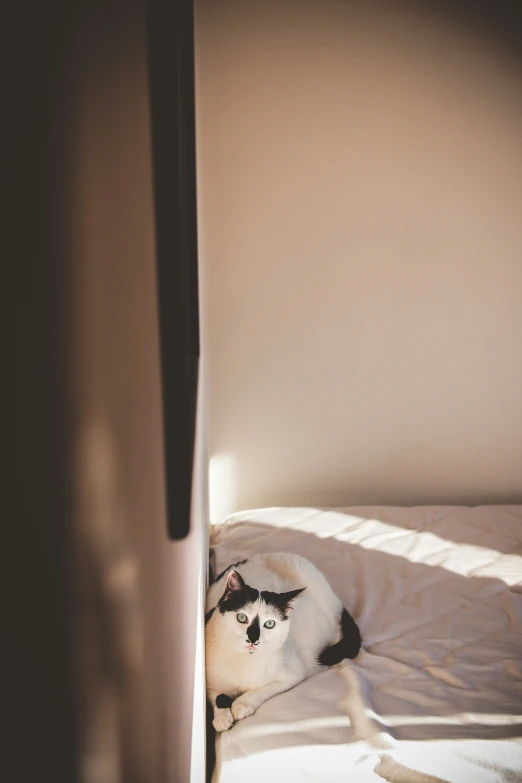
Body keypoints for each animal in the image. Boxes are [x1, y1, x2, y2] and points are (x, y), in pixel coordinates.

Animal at [205, 556, 360, 732]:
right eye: (242, 617)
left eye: (269, 624)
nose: (253, 639)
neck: (244, 662)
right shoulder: (210, 681)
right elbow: (218, 696)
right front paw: (222, 718)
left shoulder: (291, 676)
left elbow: (261, 689)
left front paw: (241, 704)